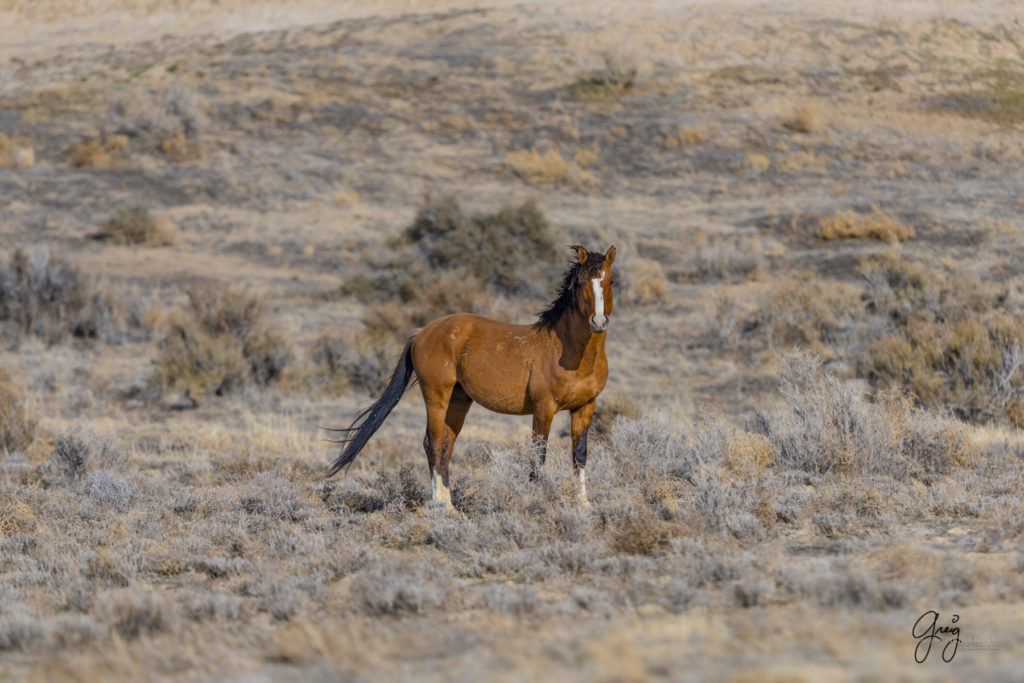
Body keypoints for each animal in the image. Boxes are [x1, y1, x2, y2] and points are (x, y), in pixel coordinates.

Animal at [327, 244, 614, 507]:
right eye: (582, 283)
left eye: (610, 280)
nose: (598, 322)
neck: (569, 353)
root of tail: (421, 332)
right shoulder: (544, 408)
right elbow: (538, 455)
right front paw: (536, 501)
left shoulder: (585, 408)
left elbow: (579, 454)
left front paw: (582, 503)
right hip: (436, 396)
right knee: (432, 442)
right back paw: (441, 504)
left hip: (459, 400)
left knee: (446, 445)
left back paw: (448, 502)